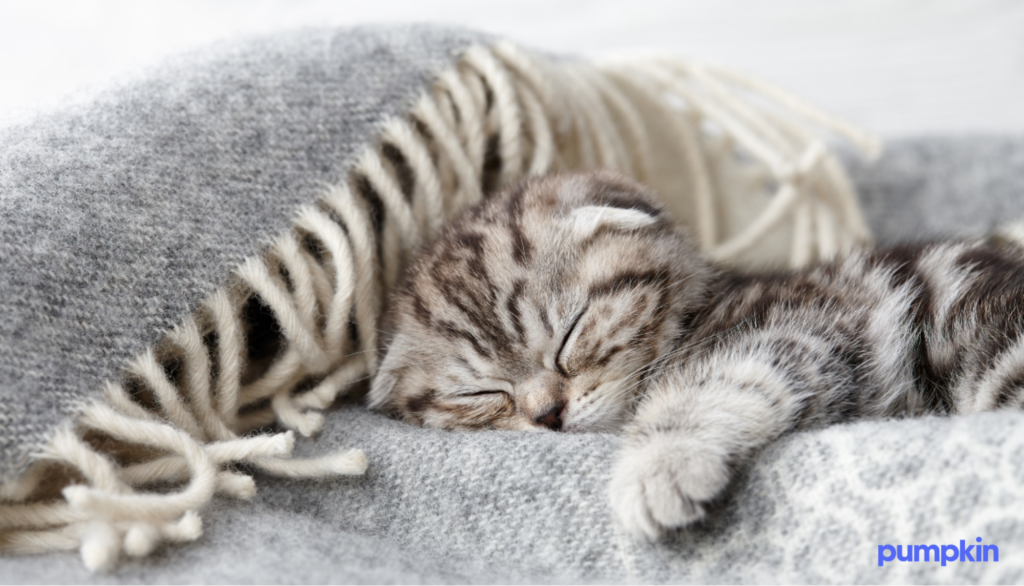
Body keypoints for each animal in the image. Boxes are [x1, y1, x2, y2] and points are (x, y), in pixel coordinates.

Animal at [368, 170, 1024, 540]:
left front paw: (659, 467)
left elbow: (709, 382)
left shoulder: (809, 317)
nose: (548, 415)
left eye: (571, 333)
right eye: (481, 393)